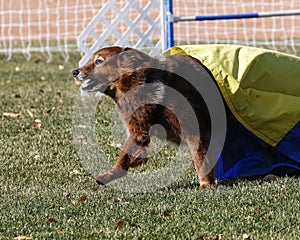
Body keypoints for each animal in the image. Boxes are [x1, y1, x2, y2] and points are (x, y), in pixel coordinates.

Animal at [73, 47, 216, 189]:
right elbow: (124, 155)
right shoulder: (139, 129)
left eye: (98, 61)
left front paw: (206, 184)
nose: (75, 72)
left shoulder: (194, 129)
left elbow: (201, 159)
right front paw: (109, 175)